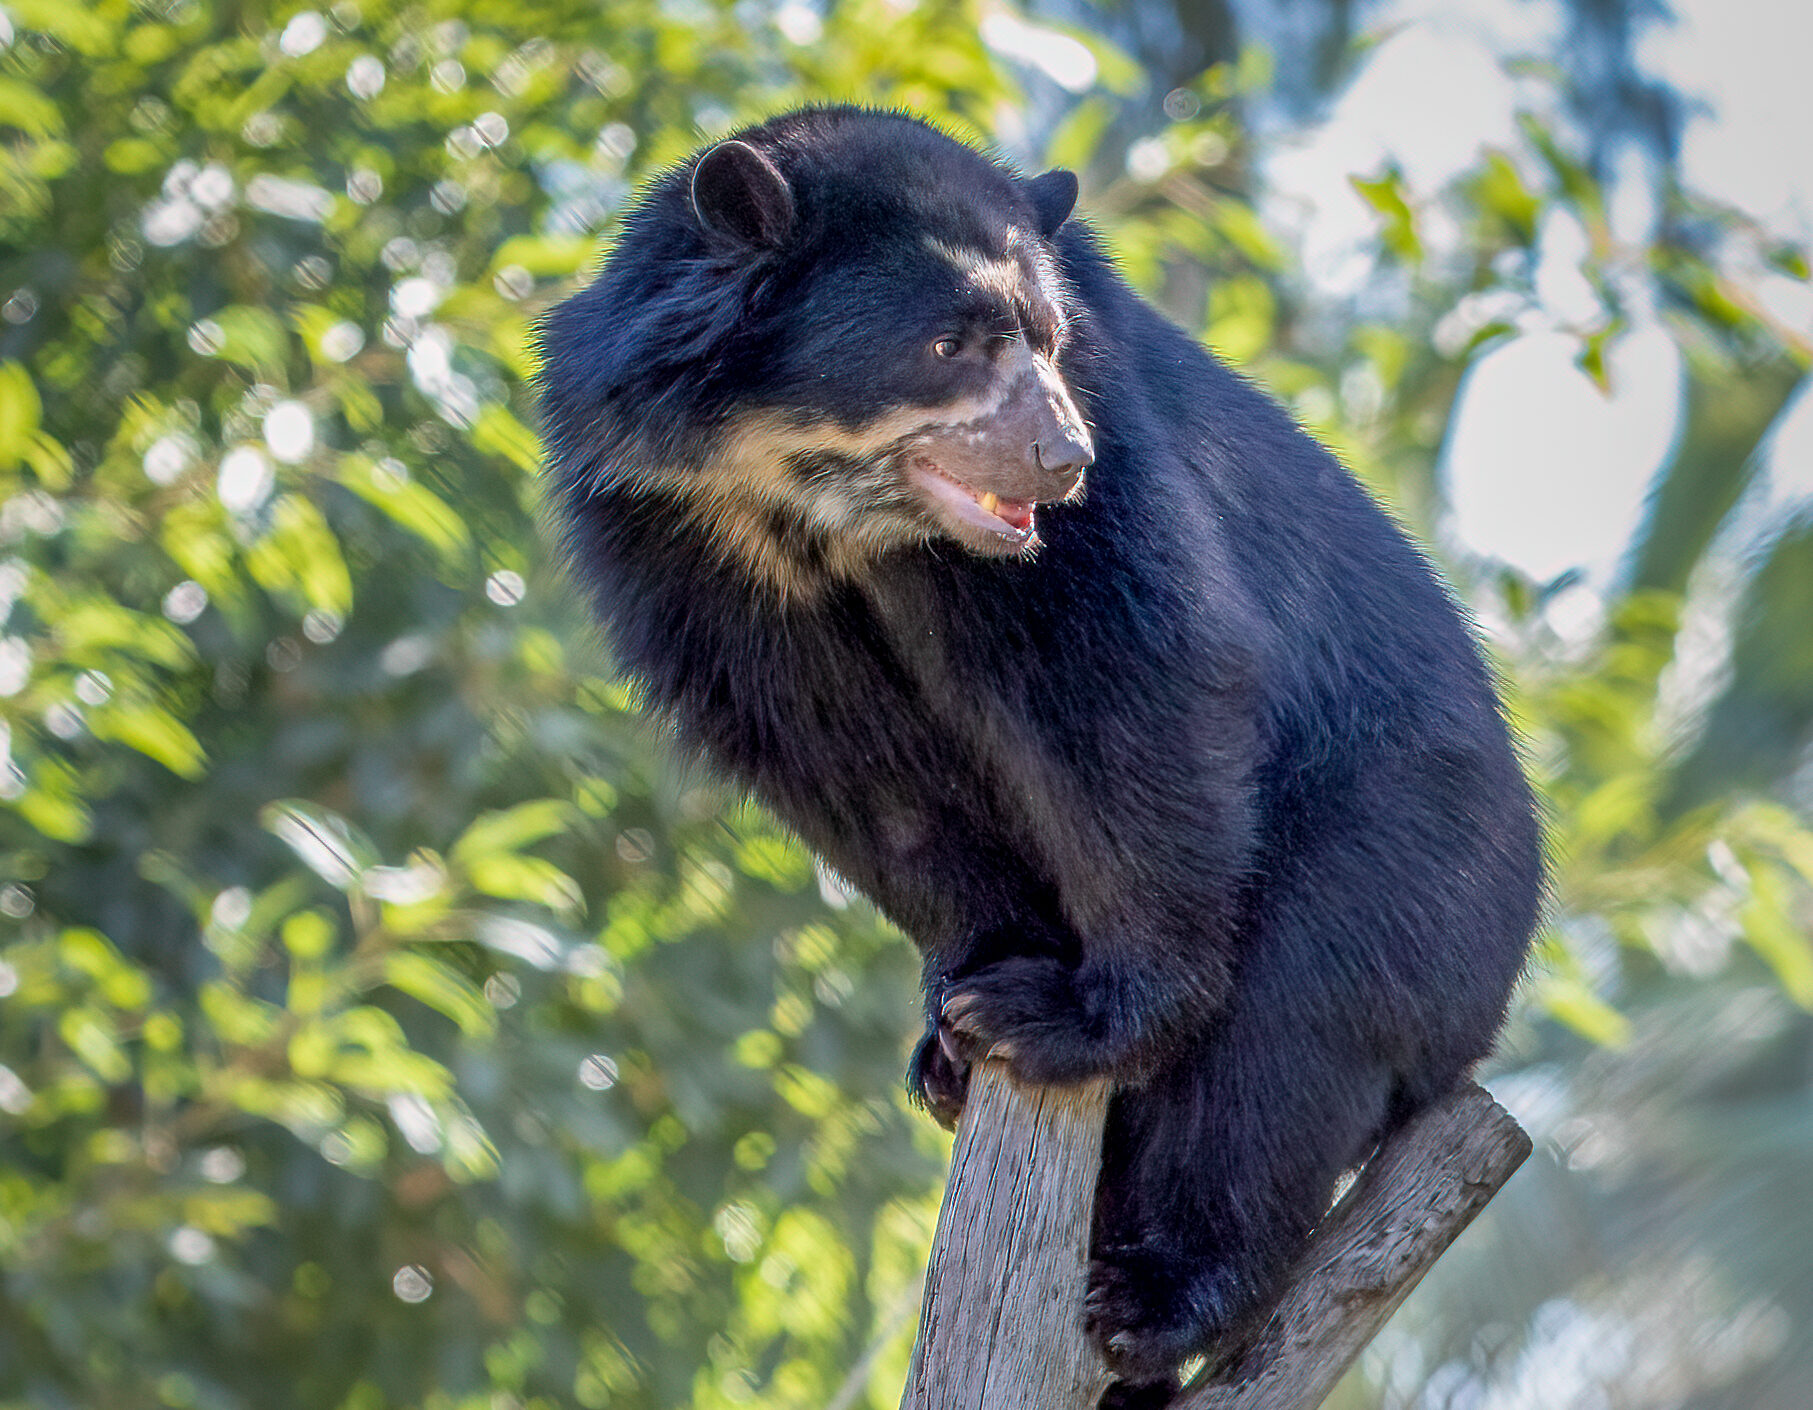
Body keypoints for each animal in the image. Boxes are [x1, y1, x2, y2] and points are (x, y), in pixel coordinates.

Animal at [537, 107, 1542, 1404]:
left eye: (1052, 342)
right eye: (948, 343)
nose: (1060, 457)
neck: (806, 509)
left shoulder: (1094, 494)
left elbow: (1128, 680)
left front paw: (1059, 1014)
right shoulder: (677, 542)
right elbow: (852, 772)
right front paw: (959, 1018)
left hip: (1411, 843)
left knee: (1290, 1033)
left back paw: (1155, 1296)